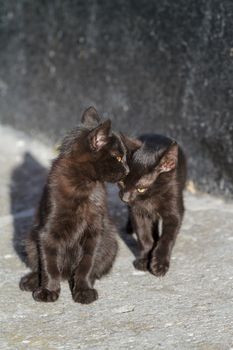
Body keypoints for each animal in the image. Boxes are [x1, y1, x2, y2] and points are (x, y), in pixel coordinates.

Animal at [19, 107, 129, 304]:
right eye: (117, 157)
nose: (127, 170)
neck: (83, 185)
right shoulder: (47, 232)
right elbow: (49, 265)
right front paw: (48, 290)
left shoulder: (94, 232)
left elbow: (87, 264)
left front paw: (84, 290)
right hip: (31, 240)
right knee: (39, 265)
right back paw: (31, 280)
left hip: (110, 242)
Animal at [117, 134, 187, 276]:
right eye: (122, 182)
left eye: (141, 188)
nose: (125, 198)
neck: (151, 197)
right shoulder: (138, 212)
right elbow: (144, 237)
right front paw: (144, 259)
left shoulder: (174, 208)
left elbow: (167, 238)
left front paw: (159, 263)